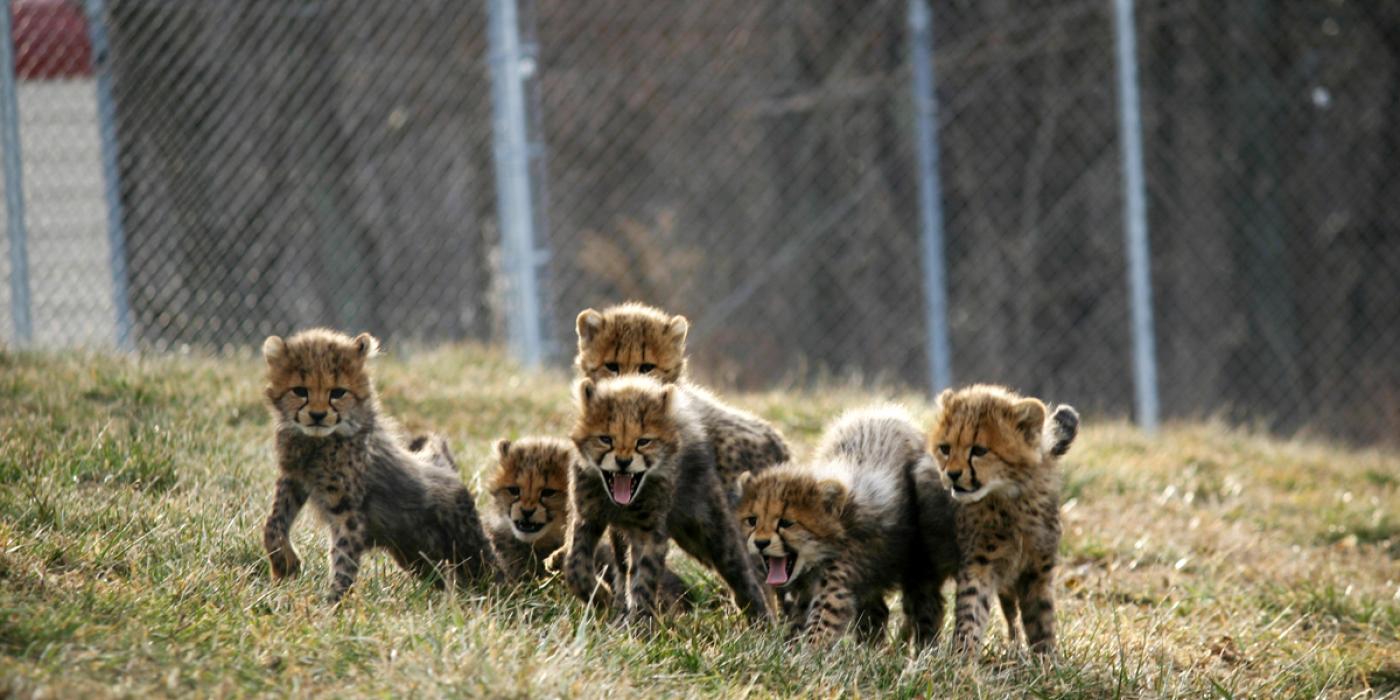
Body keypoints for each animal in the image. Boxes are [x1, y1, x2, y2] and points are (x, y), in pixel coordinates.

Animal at [261, 329, 498, 602]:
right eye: (300, 391)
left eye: (337, 393)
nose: (318, 416)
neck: (317, 443)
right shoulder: (293, 478)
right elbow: (273, 523)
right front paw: (284, 565)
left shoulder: (348, 510)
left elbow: (344, 556)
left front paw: (333, 603)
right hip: (415, 555)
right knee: (440, 575)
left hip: (465, 540)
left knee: (488, 567)